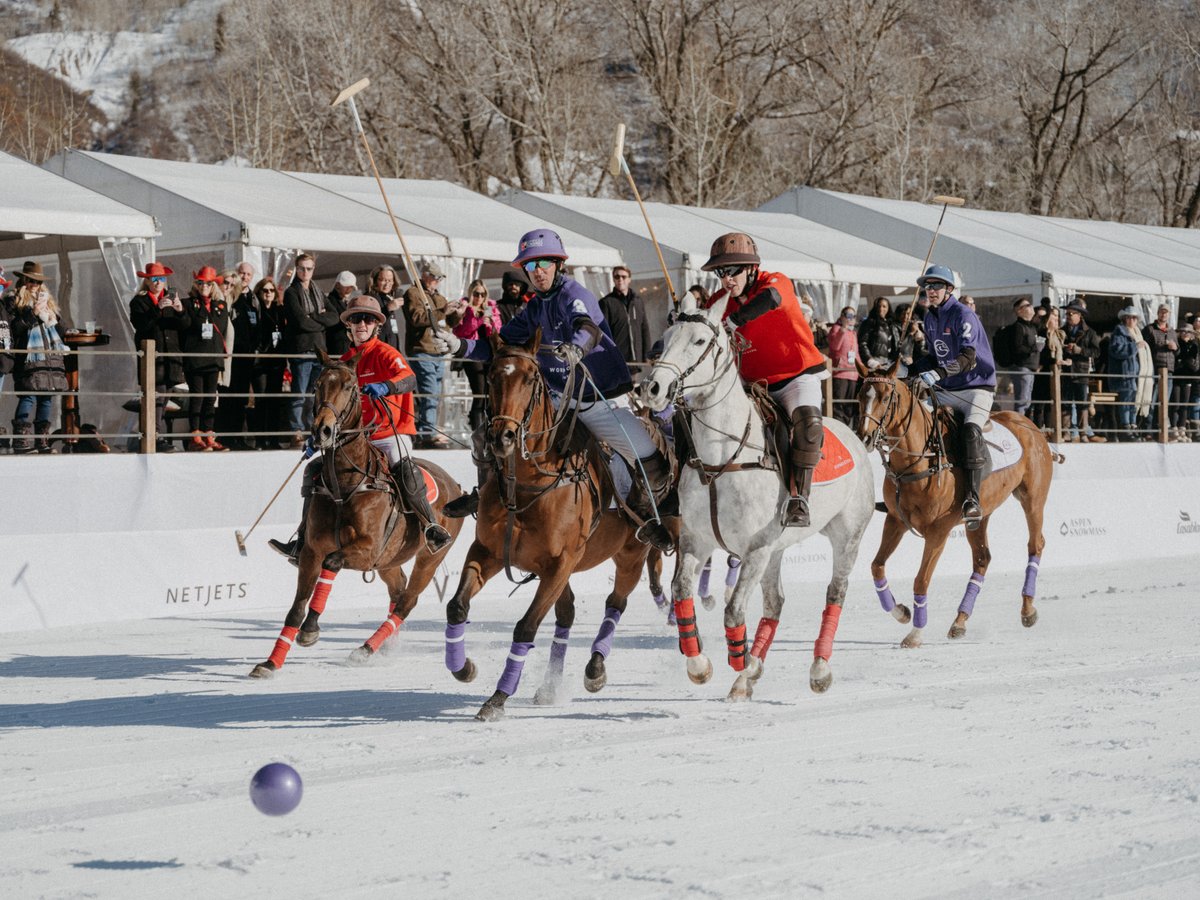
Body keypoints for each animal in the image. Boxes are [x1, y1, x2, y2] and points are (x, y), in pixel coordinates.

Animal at [249, 352, 463, 676]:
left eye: (352, 387)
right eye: (317, 385)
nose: (322, 431)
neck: (344, 482)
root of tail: (455, 482)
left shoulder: (366, 549)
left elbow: (332, 562)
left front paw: (310, 630)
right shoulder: (311, 551)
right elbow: (295, 608)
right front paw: (271, 663)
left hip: (429, 556)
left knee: (408, 600)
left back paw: (365, 649)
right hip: (388, 561)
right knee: (398, 591)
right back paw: (383, 646)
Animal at [446, 328, 657, 724]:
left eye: (531, 378)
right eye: (492, 376)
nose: (502, 437)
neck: (528, 484)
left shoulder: (560, 563)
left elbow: (526, 626)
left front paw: (497, 698)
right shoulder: (488, 551)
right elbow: (457, 606)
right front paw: (463, 668)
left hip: (631, 555)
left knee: (616, 602)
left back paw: (595, 668)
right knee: (568, 611)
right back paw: (550, 686)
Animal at [638, 292, 873, 700]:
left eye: (700, 341)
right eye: (665, 339)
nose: (653, 389)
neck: (721, 459)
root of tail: (854, 436)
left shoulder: (756, 548)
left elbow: (733, 609)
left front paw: (740, 660)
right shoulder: (696, 540)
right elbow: (681, 590)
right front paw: (701, 664)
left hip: (848, 536)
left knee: (835, 593)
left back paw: (819, 669)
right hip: (778, 550)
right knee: (775, 602)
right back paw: (749, 676)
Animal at [854, 362, 1060, 652]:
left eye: (886, 398)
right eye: (862, 395)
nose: (865, 437)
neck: (918, 460)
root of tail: (1032, 426)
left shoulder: (938, 531)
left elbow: (921, 579)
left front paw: (915, 634)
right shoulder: (895, 520)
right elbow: (876, 566)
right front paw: (901, 612)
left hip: (1033, 498)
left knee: (1035, 544)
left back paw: (1028, 610)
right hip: (981, 515)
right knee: (982, 558)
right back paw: (960, 621)